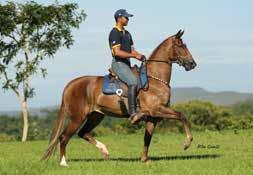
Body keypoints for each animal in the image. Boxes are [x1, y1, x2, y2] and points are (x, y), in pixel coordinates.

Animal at [41, 29, 198, 166]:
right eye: (180, 46)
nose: (192, 64)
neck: (154, 80)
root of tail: (70, 85)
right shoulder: (157, 109)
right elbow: (182, 116)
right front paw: (187, 143)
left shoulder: (153, 117)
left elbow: (147, 138)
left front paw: (144, 159)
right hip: (77, 117)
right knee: (64, 137)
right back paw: (63, 163)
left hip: (96, 116)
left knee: (83, 133)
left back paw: (105, 151)